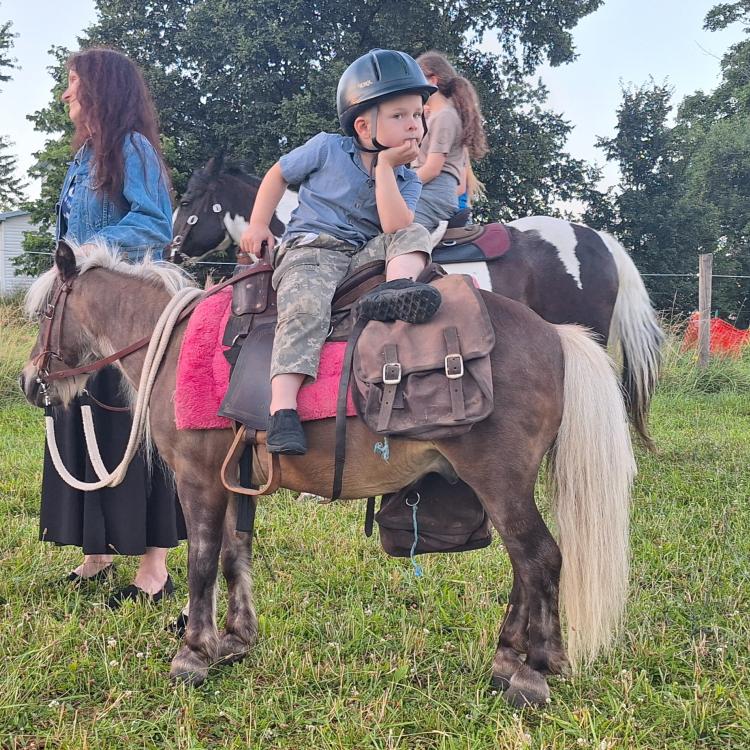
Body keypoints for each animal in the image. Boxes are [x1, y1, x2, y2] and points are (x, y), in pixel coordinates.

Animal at [20, 244, 636, 708]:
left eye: (46, 311)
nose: (29, 381)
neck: (172, 345)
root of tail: (555, 335)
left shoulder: (199, 477)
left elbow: (201, 560)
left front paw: (193, 652)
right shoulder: (237, 477)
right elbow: (235, 553)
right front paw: (236, 640)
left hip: (499, 482)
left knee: (538, 560)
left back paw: (533, 671)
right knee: (523, 568)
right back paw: (507, 659)